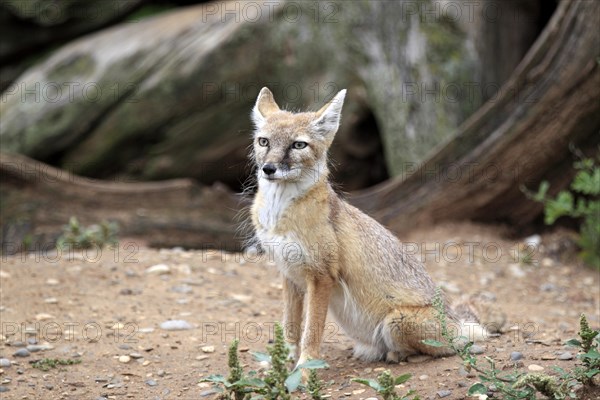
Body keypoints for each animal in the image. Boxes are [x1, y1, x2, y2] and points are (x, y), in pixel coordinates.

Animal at [248, 87, 492, 368]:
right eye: (264, 142)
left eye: (298, 145)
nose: (269, 169)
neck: (279, 215)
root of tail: (455, 324)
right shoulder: (289, 275)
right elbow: (290, 328)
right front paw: (280, 367)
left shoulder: (321, 277)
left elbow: (311, 333)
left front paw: (305, 370)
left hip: (394, 322)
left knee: (444, 350)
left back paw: (399, 355)